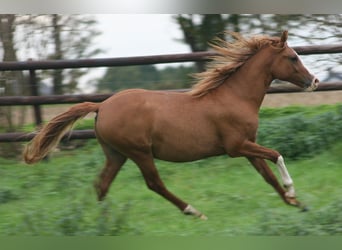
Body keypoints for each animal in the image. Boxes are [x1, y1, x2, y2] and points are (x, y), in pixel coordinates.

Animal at [23, 30, 318, 219]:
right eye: (292, 57)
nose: (313, 81)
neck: (235, 96)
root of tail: (101, 106)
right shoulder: (237, 147)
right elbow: (276, 155)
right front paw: (292, 191)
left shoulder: (248, 145)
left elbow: (267, 175)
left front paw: (296, 204)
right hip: (139, 152)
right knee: (154, 183)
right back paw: (194, 211)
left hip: (116, 154)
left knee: (102, 184)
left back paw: (102, 220)